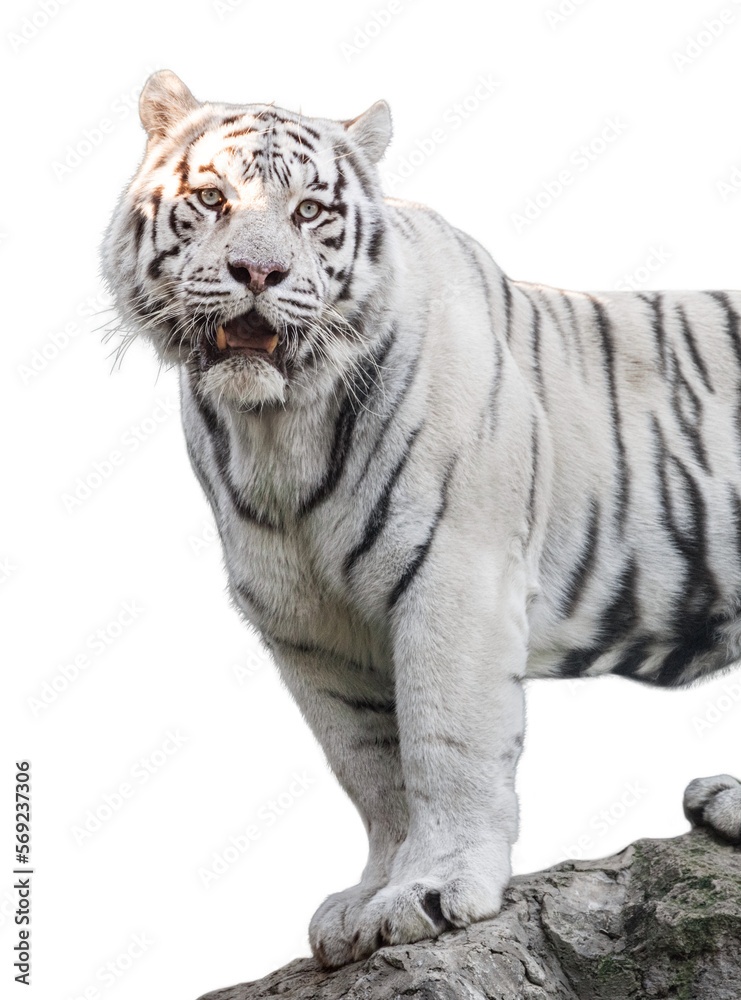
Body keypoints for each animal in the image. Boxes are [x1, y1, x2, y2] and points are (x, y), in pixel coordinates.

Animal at [101, 70, 741, 969]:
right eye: (212, 198)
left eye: (309, 210)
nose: (257, 270)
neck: (275, 429)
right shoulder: (306, 624)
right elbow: (371, 766)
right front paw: (367, 899)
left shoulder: (456, 580)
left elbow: (446, 744)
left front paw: (431, 893)